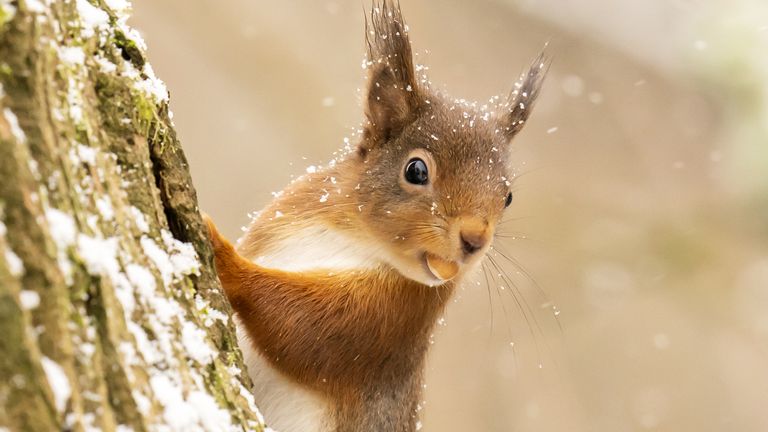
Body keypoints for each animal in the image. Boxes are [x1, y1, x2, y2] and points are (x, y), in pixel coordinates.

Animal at [201, 1, 544, 430]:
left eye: (508, 196)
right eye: (417, 170)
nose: (475, 239)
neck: (355, 237)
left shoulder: (388, 323)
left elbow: (300, 327)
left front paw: (221, 250)